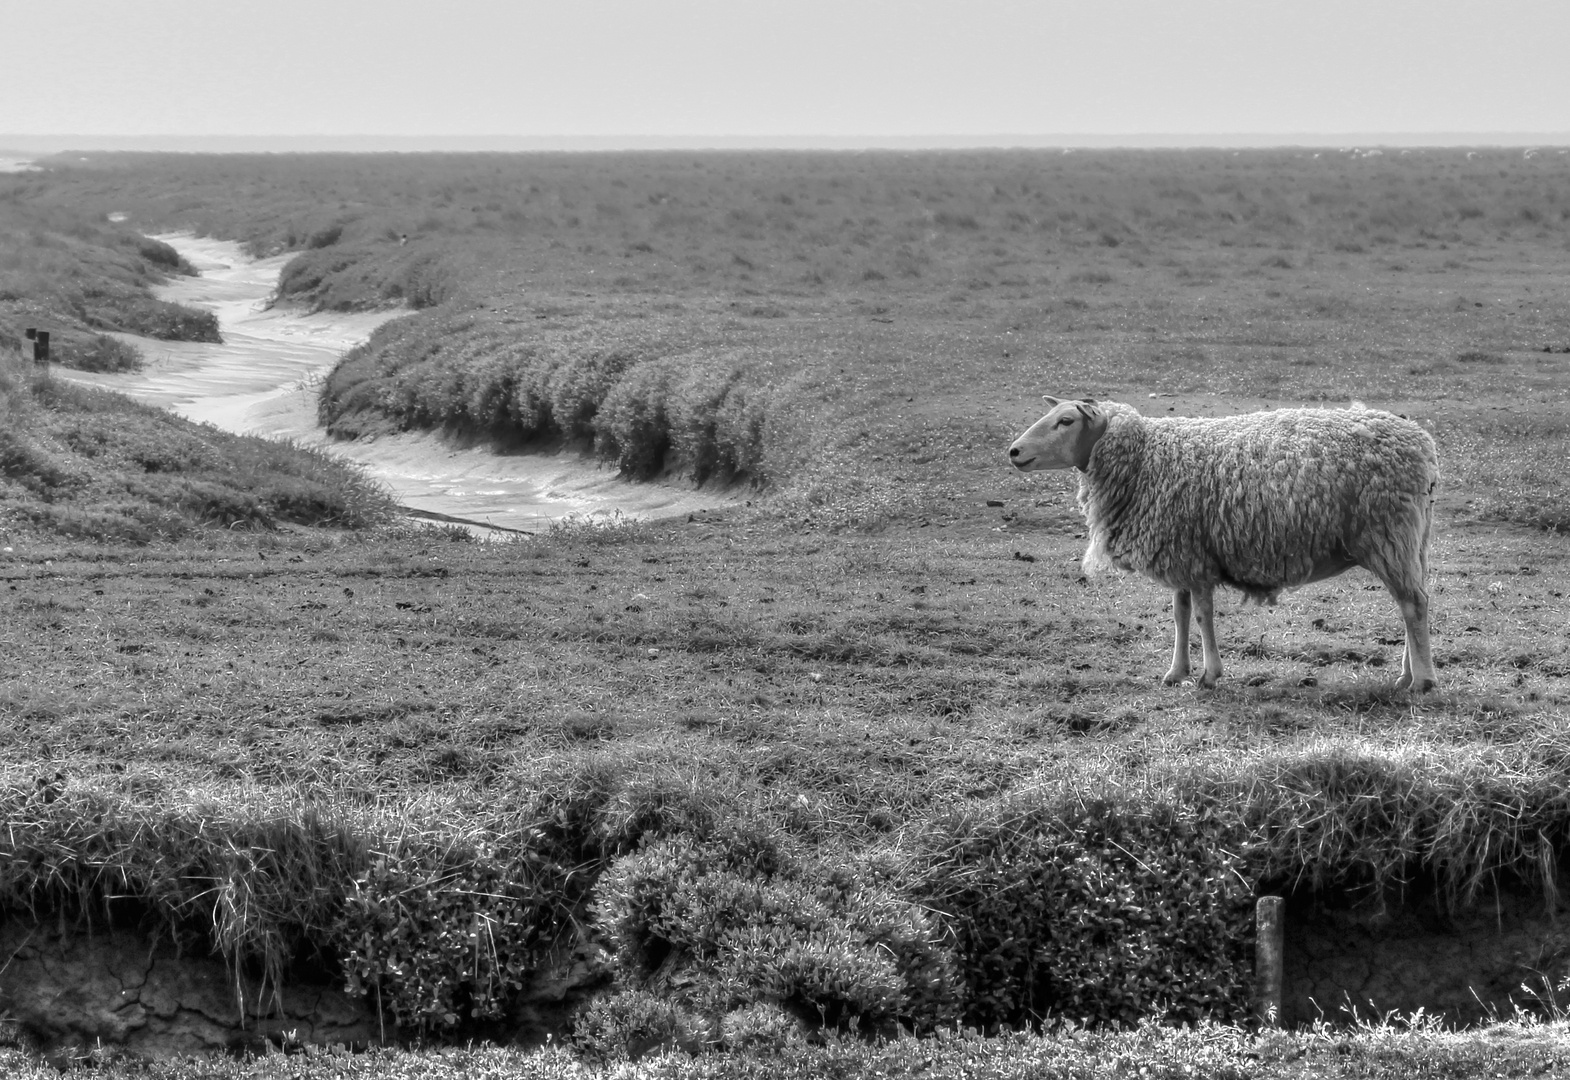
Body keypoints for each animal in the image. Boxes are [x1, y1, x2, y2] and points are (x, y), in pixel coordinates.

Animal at [1011, 397, 1438, 690]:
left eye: (1066, 421)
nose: (1013, 451)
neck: (1145, 456)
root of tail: (1422, 444)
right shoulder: (1181, 552)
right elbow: (1181, 614)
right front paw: (1176, 672)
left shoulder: (1195, 558)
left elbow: (1202, 616)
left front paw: (1210, 674)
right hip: (1412, 541)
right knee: (1413, 602)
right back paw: (1406, 675)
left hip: (1388, 533)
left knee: (1413, 603)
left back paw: (1423, 681)